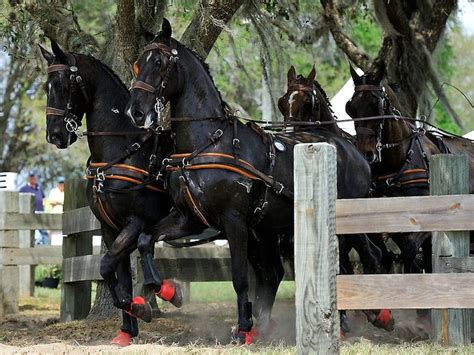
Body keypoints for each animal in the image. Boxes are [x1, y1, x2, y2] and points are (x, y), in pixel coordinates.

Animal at [39, 40, 184, 346]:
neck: (122, 152)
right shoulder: (110, 228)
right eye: (47, 86)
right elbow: (119, 275)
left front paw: (144, 307)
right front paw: (127, 330)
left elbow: (106, 266)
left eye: (63, 85)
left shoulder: (136, 223)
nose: (55, 135)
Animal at [125, 19, 374, 344]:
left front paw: (243, 326)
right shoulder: (188, 219)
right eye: (137, 64)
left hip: (347, 221)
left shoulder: (234, 221)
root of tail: (349, 146)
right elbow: (145, 240)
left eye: (159, 62)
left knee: (361, 258)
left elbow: (240, 278)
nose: (135, 111)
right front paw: (164, 291)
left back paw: (373, 315)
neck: (207, 143)